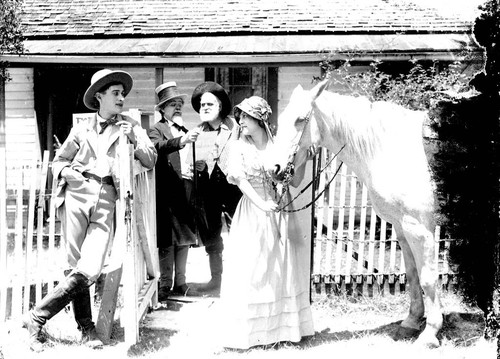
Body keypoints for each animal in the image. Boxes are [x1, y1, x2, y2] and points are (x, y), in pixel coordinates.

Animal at [274, 79, 442, 348]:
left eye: (300, 119)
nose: (275, 168)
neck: (393, 149)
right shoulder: (403, 228)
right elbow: (413, 274)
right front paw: (412, 322)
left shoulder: (420, 229)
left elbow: (427, 277)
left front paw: (430, 333)